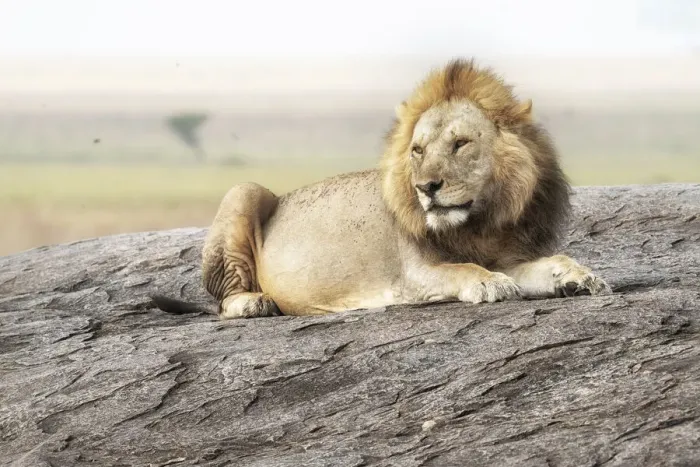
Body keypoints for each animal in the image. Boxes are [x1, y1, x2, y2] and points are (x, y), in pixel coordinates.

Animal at [152, 58, 611, 319]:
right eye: (418, 150)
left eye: (460, 144)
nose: (427, 187)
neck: (478, 222)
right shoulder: (414, 274)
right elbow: (461, 270)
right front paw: (490, 284)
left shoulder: (507, 254)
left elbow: (550, 262)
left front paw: (579, 276)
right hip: (244, 191)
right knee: (221, 303)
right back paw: (254, 303)